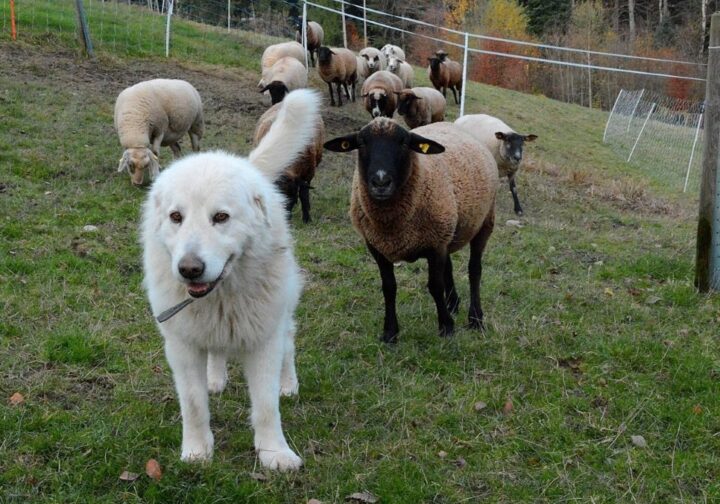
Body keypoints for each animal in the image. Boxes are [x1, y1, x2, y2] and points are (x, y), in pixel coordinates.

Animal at [324, 118, 499, 343]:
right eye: (361, 143)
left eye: (404, 143)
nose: (381, 182)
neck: (392, 226)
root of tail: (450, 123)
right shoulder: (377, 246)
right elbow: (389, 287)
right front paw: (390, 332)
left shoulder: (435, 245)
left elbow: (435, 286)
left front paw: (446, 327)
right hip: (447, 229)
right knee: (449, 266)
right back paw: (453, 303)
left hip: (484, 221)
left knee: (474, 270)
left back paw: (475, 318)